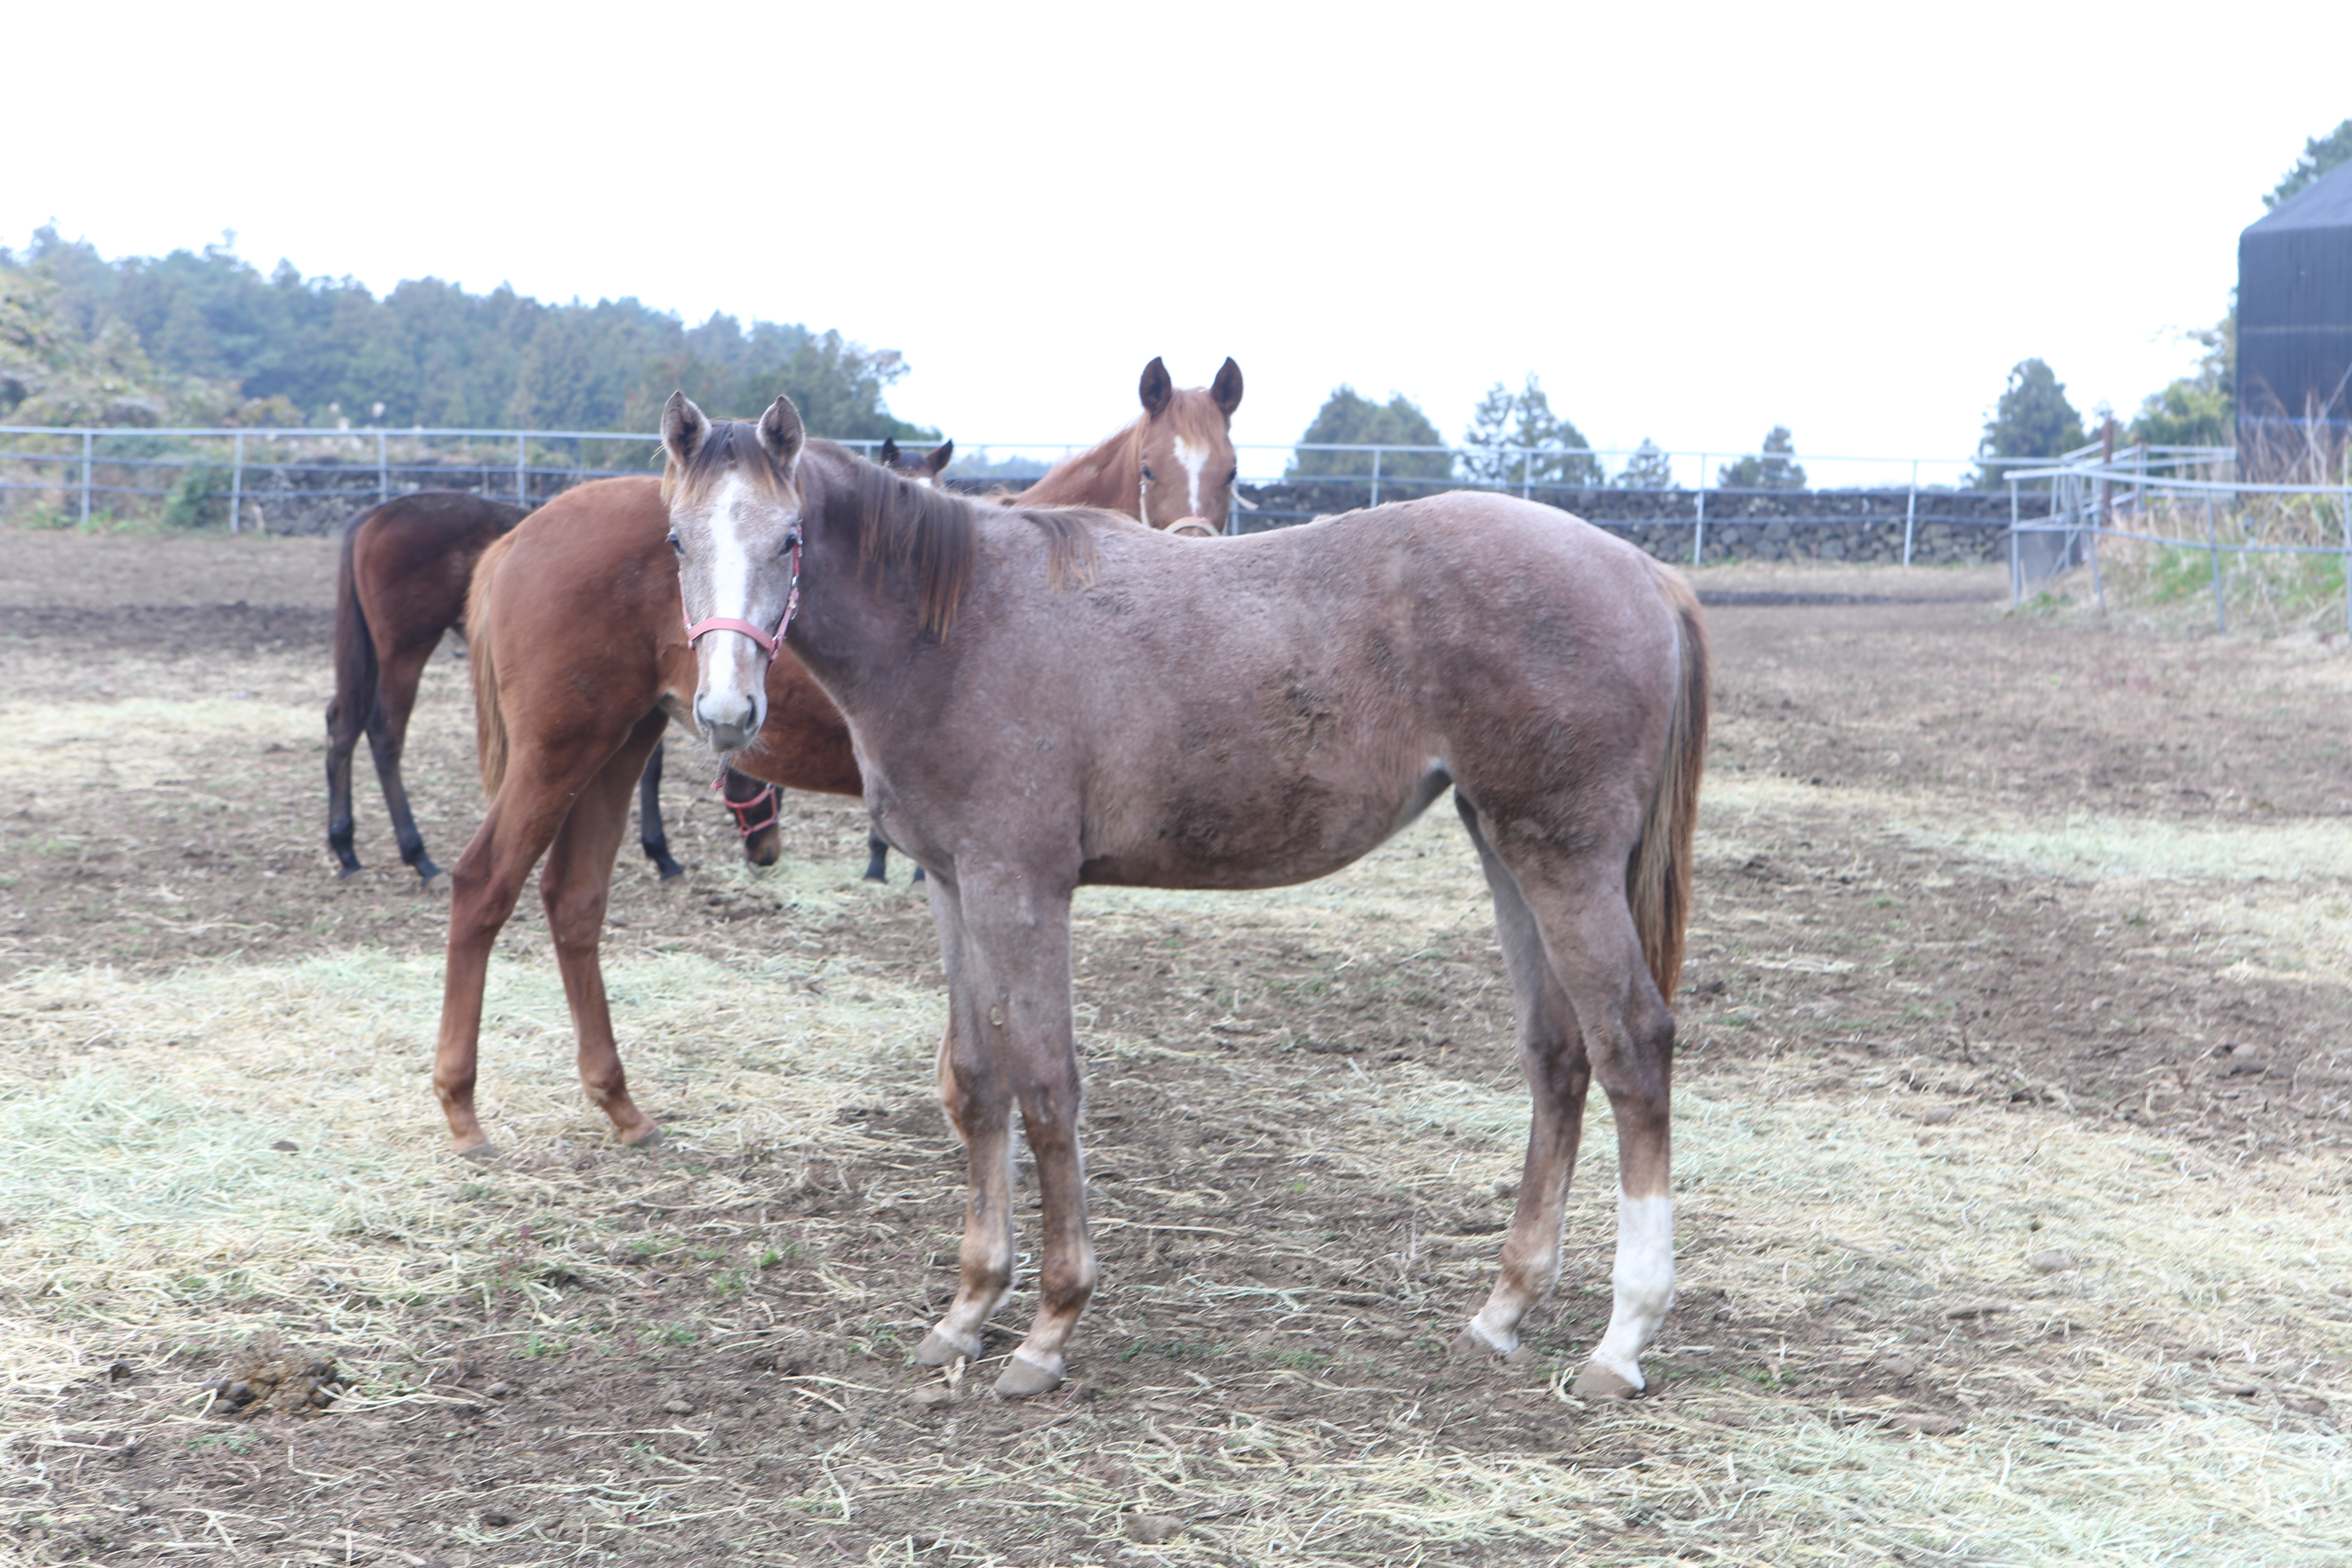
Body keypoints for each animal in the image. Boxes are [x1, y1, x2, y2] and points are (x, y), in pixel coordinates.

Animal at [658, 390, 1712, 1401]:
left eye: (788, 538)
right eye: (676, 540)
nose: (726, 711)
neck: (955, 629)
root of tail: (1641, 569)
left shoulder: (1020, 887)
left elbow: (1047, 1088)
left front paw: (1048, 1327)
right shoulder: (955, 887)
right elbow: (976, 1082)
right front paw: (967, 1310)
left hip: (1564, 860)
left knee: (1631, 1046)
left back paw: (1623, 1339)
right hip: (1507, 849)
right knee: (1556, 1056)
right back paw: (1505, 1308)